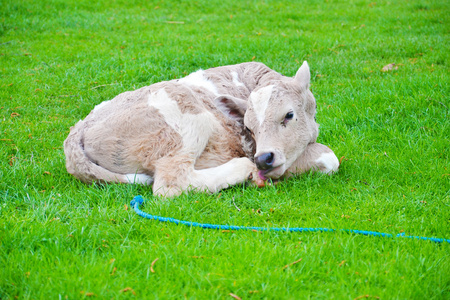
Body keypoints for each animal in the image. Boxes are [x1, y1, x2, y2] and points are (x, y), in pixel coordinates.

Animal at [64, 61, 338, 197]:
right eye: (249, 128)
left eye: (289, 115)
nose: (263, 159)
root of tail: (77, 130)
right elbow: (329, 157)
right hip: (189, 124)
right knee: (171, 184)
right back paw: (244, 170)